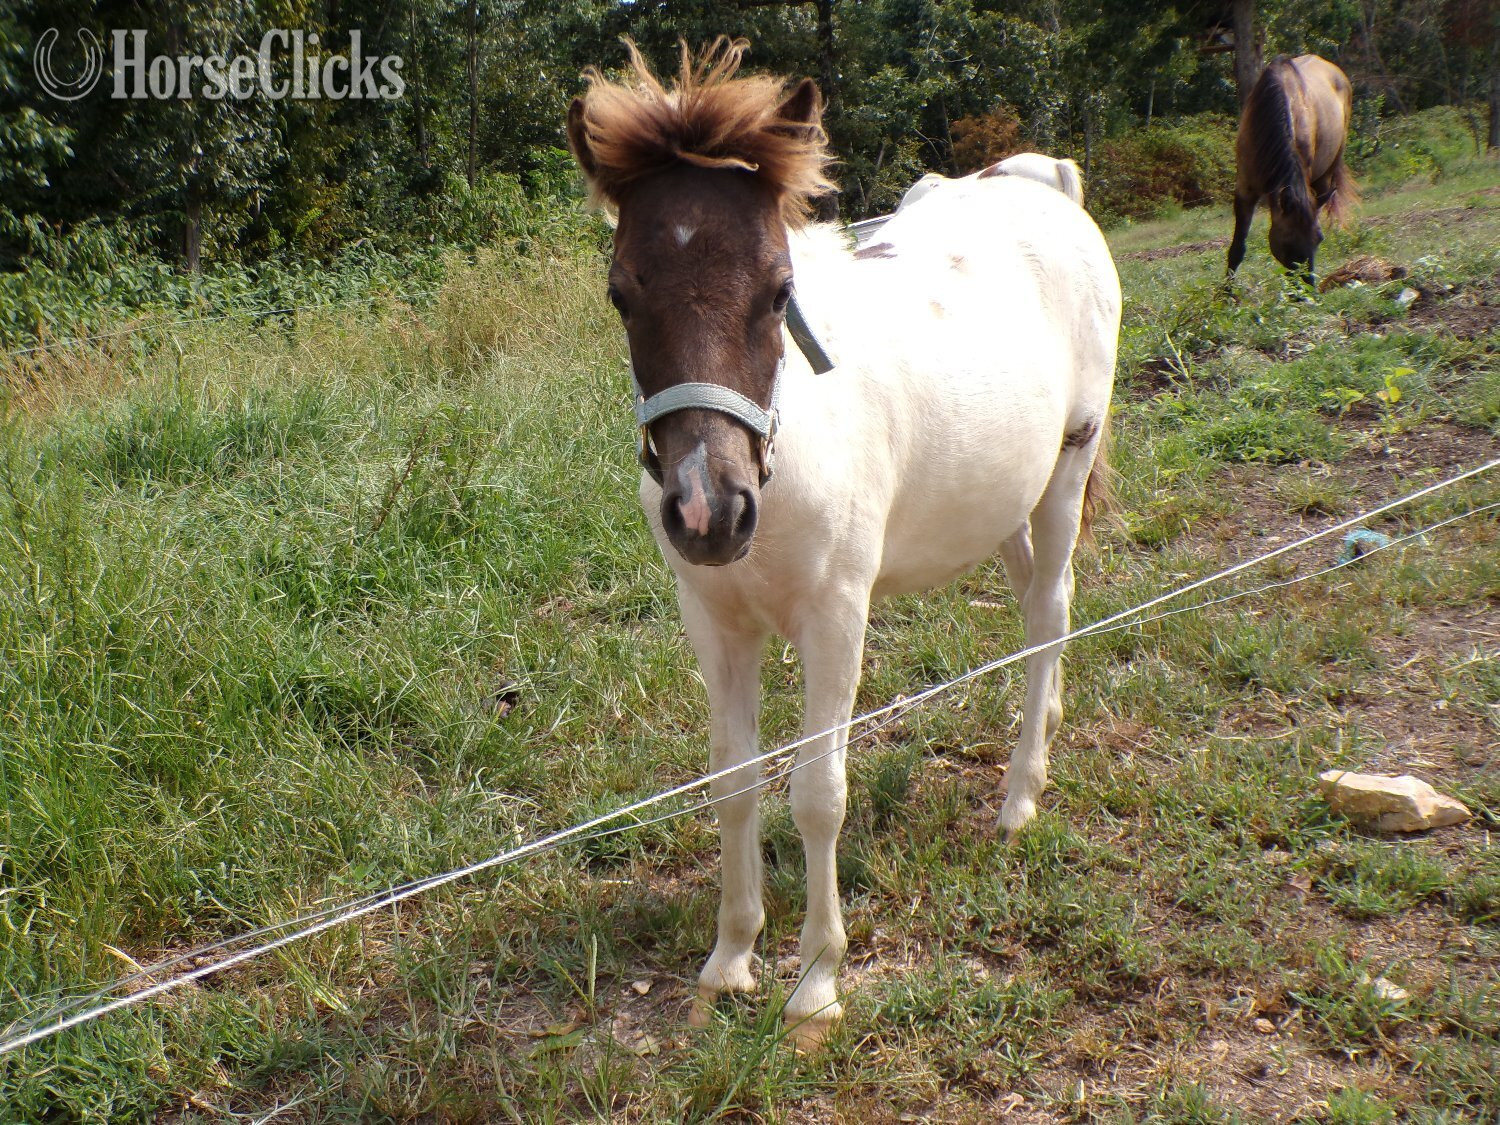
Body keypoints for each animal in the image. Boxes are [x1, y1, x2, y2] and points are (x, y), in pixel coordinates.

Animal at [1228, 54, 1357, 284]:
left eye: (1319, 239)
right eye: (1288, 243)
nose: (1308, 289)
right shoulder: (1245, 189)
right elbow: (1237, 248)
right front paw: (1225, 293)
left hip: (1326, 174)